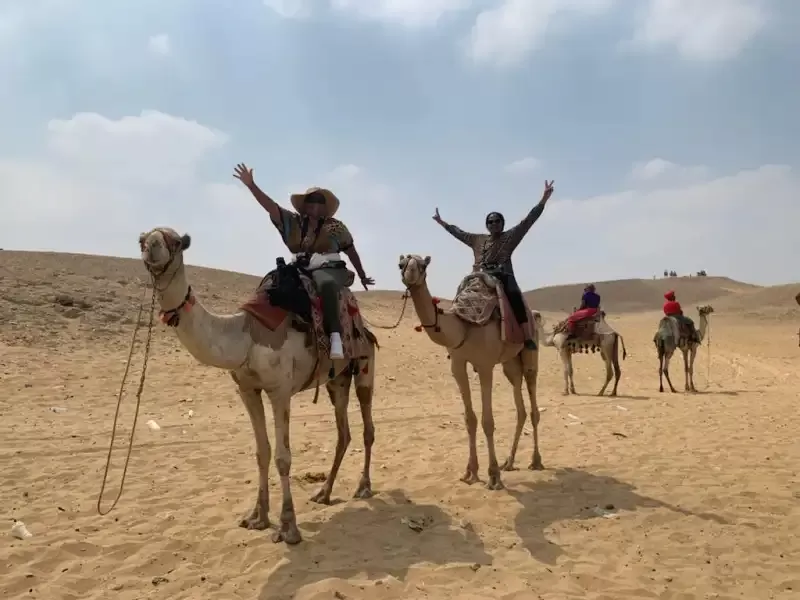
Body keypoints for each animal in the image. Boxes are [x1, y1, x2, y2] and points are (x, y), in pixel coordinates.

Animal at [138, 227, 379, 545]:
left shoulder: (279, 390)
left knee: (367, 427)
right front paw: (257, 517)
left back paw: (363, 487)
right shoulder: (247, 389)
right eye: (141, 240)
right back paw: (324, 493)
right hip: (336, 380)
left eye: (176, 242)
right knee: (343, 432)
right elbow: (261, 452)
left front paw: (288, 528)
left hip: (364, 364)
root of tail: (363, 325)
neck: (245, 336)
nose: (152, 247)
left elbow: (282, 457)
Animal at [398, 254, 542, 492]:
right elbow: (470, 419)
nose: (410, 275)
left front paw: (493, 477)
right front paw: (470, 473)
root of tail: (535, 313)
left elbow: (487, 422)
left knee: (532, 402)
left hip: (530, 352)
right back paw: (509, 462)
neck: (463, 325)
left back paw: (536, 460)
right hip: (510, 363)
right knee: (519, 404)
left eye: (423, 265)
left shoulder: (484, 365)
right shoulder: (457, 364)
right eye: (401, 264)